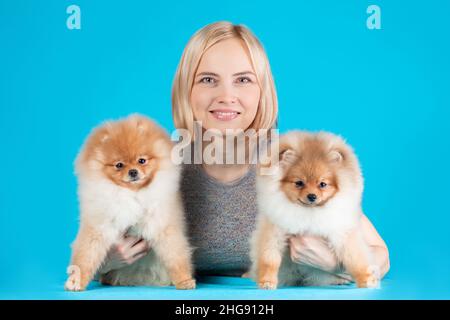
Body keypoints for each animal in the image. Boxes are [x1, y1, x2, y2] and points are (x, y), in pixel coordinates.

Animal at [65, 114, 195, 292]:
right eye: (119, 165)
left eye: (142, 160)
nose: (133, 172)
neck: (132, 193)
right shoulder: (98, 226)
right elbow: (86, 256)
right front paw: (75, 280)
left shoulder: (162, 224)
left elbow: (175, 255)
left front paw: (184, 281)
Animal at [250, 131, 380, 288]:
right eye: (299, 183)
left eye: (322, 184)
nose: (312, 196)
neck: (309, 211)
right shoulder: (274, 231)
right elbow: (269, 259)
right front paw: (267, 281)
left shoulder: (342, 232)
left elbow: (356, 259)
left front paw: (366, 279)